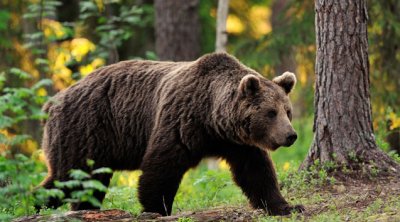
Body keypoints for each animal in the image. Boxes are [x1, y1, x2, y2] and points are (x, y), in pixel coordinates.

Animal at [39, 52, 304, 215]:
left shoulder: (238, 143)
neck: (212, 118)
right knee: (68, 177)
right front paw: (157, 208)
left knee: (87, 183)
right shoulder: (181, 121)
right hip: (85, 130)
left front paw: (287, 206)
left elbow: (256, 173)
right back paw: (35, 202)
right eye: (271, 112)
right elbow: (161, 167)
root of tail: (53, 101)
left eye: (287, 111)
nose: (291, 135)